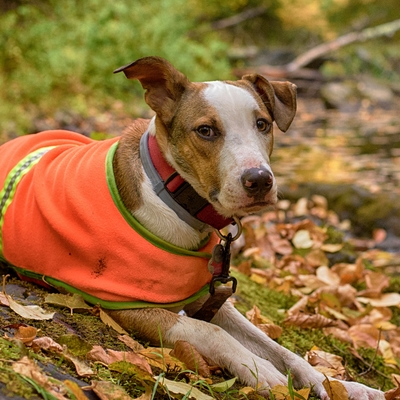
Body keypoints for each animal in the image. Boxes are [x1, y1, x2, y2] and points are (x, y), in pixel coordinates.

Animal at [0, 57, 384, 400]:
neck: (173, 195)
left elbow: (278, 347)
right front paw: (260, 370)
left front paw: (337, 384)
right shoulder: (126, 305)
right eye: (205, 130)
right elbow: (209, 331)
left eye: (262, 124)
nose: (260, 180)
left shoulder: (210, 298)